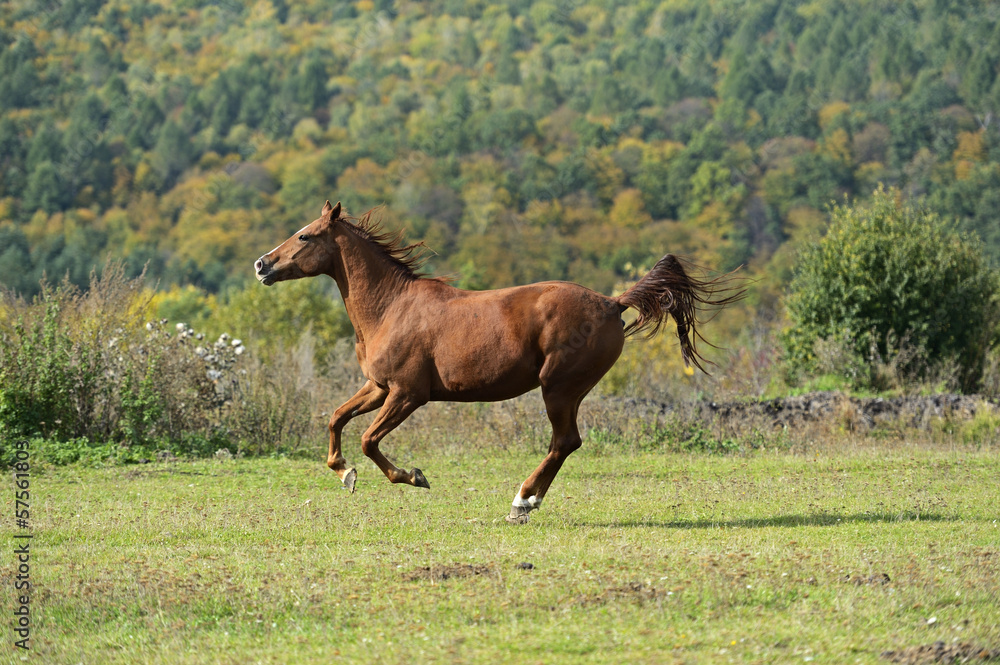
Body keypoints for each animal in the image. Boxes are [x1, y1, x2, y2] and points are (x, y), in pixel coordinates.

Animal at [255, 200, 744, 523]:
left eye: (304, 235)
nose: (261, 264)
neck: (391, 306)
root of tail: (612, 303)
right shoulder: (378, 387)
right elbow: (337, 419)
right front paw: (344, 474)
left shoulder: (408, 394)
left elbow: (369, 440)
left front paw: (413, 476)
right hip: (565, 390)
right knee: (565, 443)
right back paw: (527, 503)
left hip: (558, 387)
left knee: (565, 442)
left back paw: (522, 502)